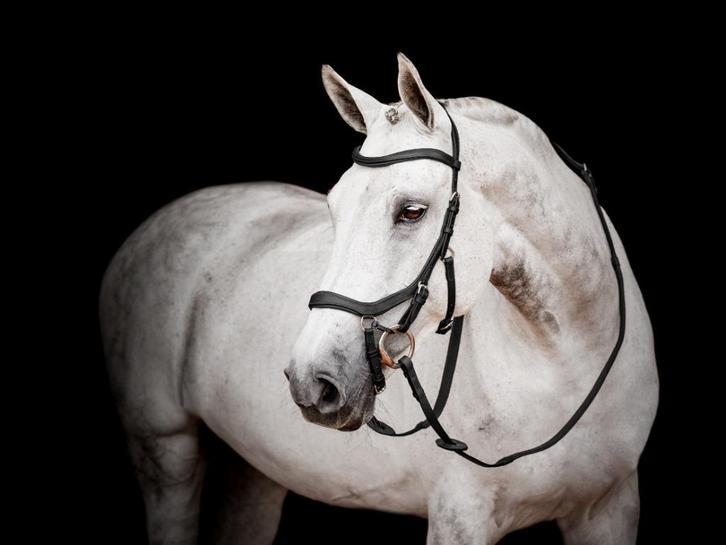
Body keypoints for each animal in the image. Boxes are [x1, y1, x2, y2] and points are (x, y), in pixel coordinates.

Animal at [99, 53, 658, 544]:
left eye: (411, 211)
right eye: (334, 205)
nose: (312, 380)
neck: (563, 365)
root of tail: (152, 227)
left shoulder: (611, 506)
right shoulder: (461, 515)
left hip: (254, 469)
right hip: (165, 451)